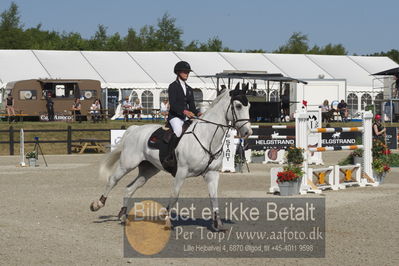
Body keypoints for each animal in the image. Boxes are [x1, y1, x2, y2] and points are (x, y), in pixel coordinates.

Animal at [90, 84, 253, 231]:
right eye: (238, 106)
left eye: (249, 106)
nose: (247, 132)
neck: (206, 137)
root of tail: (134, 129)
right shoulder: (181, 172)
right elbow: (175, 195)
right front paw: (167, 219)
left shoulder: (212, 173)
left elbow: (214, 197)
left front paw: (218, 224)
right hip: (127, 164)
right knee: (113, 180)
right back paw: (97, 204)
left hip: (148, 170)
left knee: (130, 188)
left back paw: (123, 216)